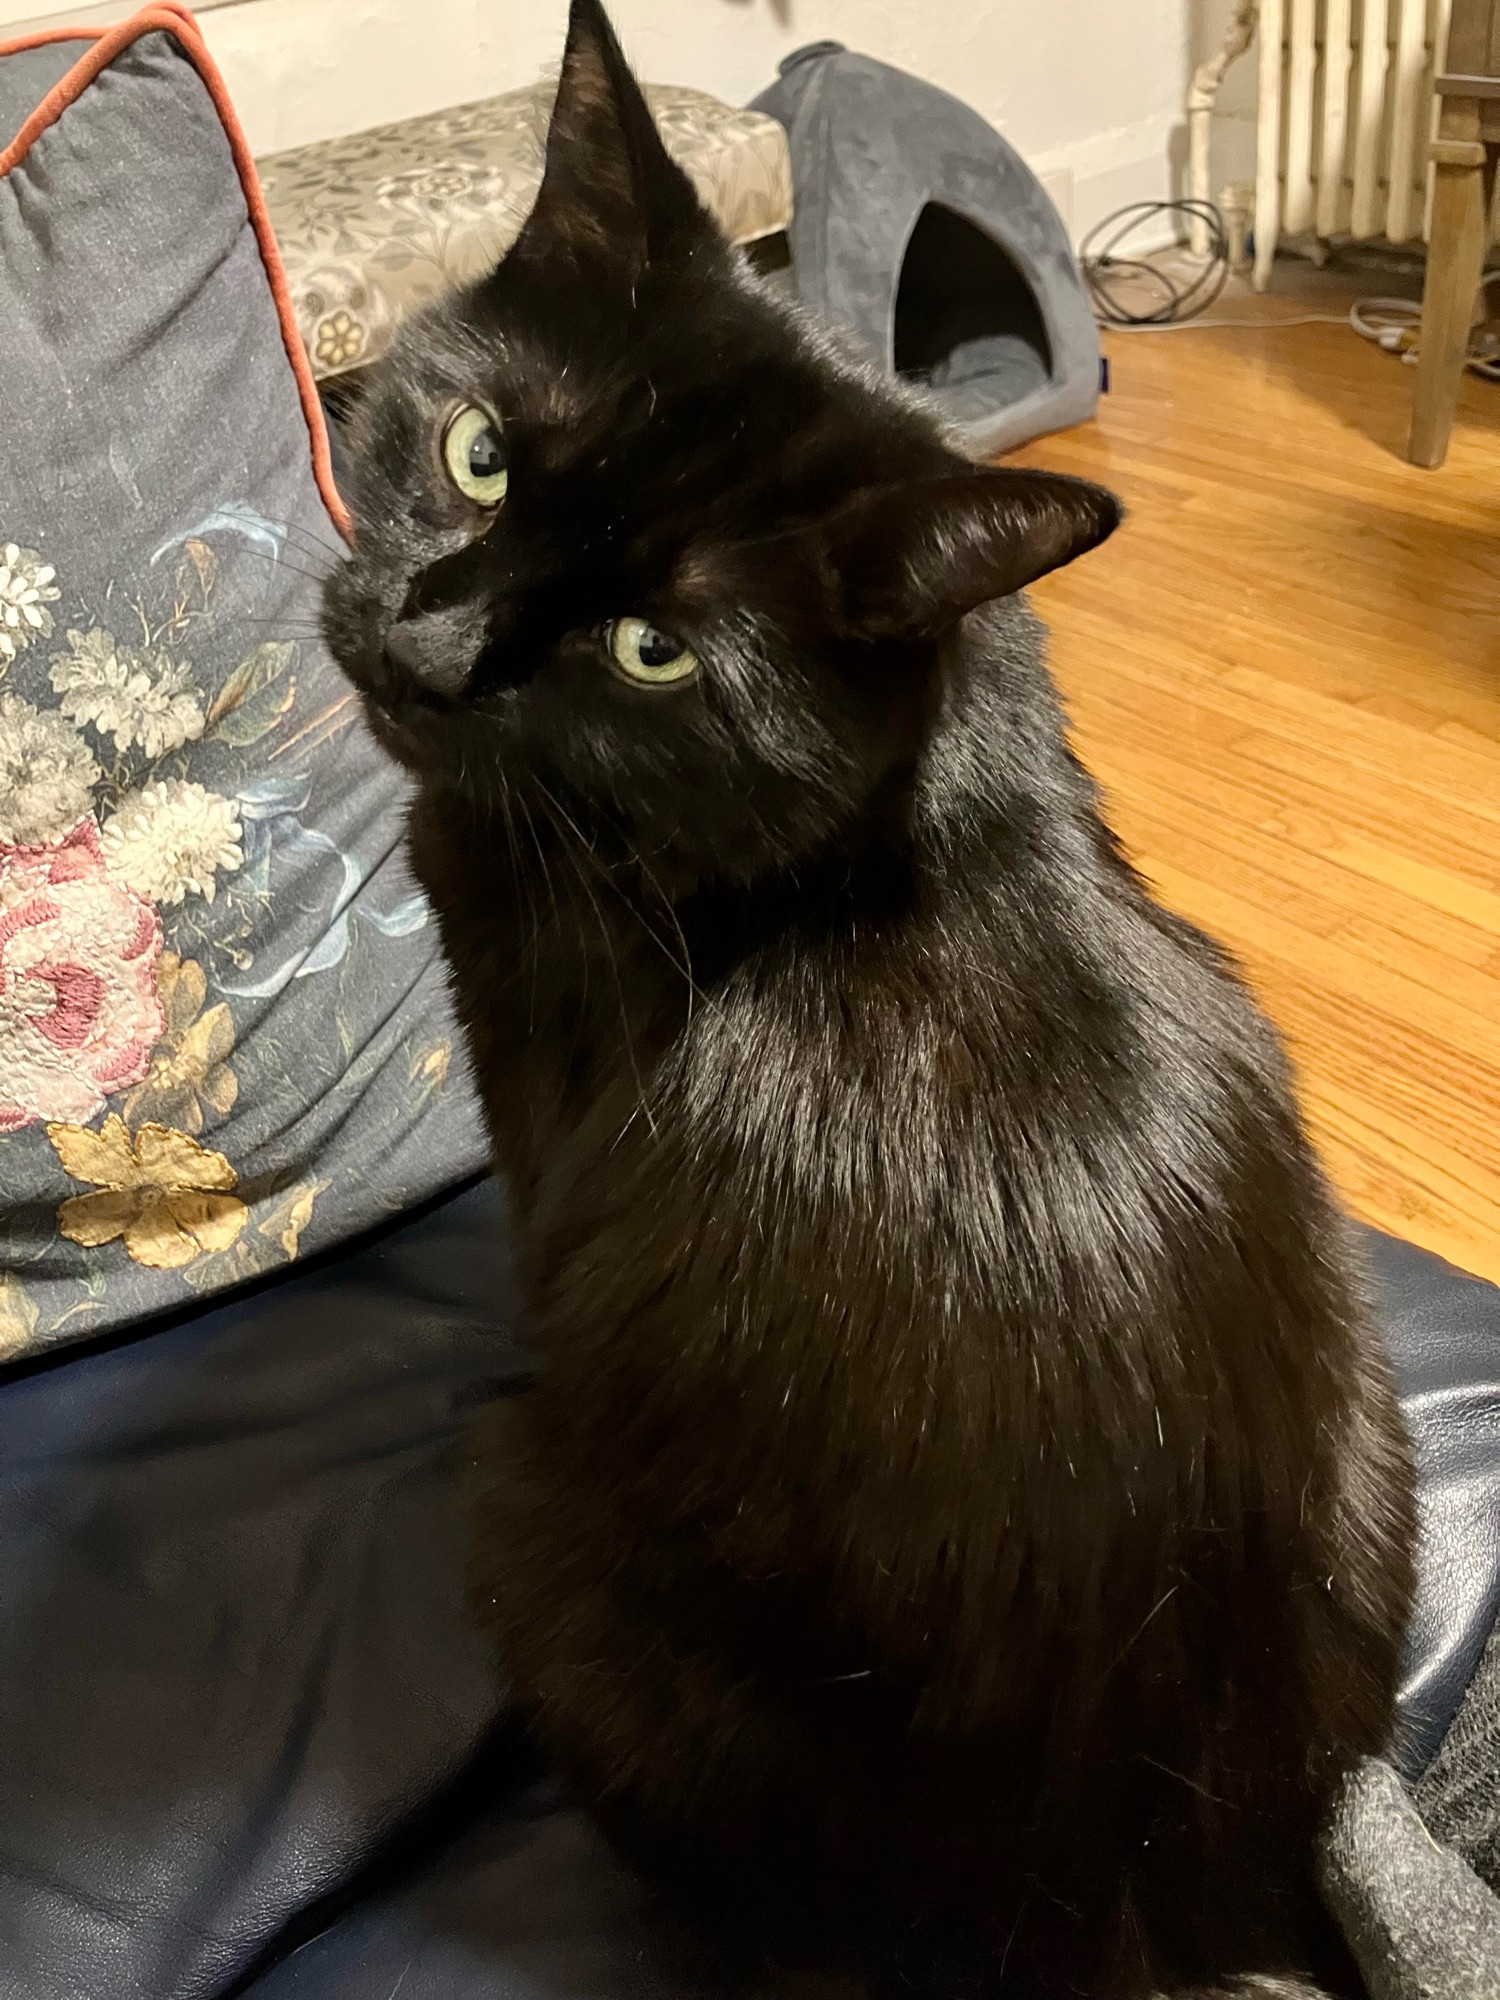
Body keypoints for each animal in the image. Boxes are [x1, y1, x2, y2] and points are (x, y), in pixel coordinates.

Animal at [321, 3, 1417, 1994]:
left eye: (656, 649)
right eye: (481, 453)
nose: (426, 644)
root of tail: (1115, 1916)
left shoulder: (541, 1115)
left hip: (528, 1518)